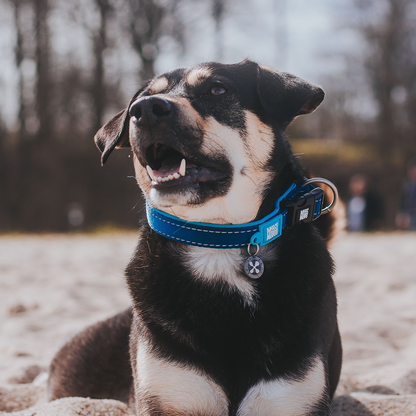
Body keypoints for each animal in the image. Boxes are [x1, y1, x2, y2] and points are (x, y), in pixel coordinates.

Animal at [48, 59, 342, 416]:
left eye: (217, 89)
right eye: (141, 100)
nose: (145, 110)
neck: (218, 242)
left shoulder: (292, 399)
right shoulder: (168, 396)